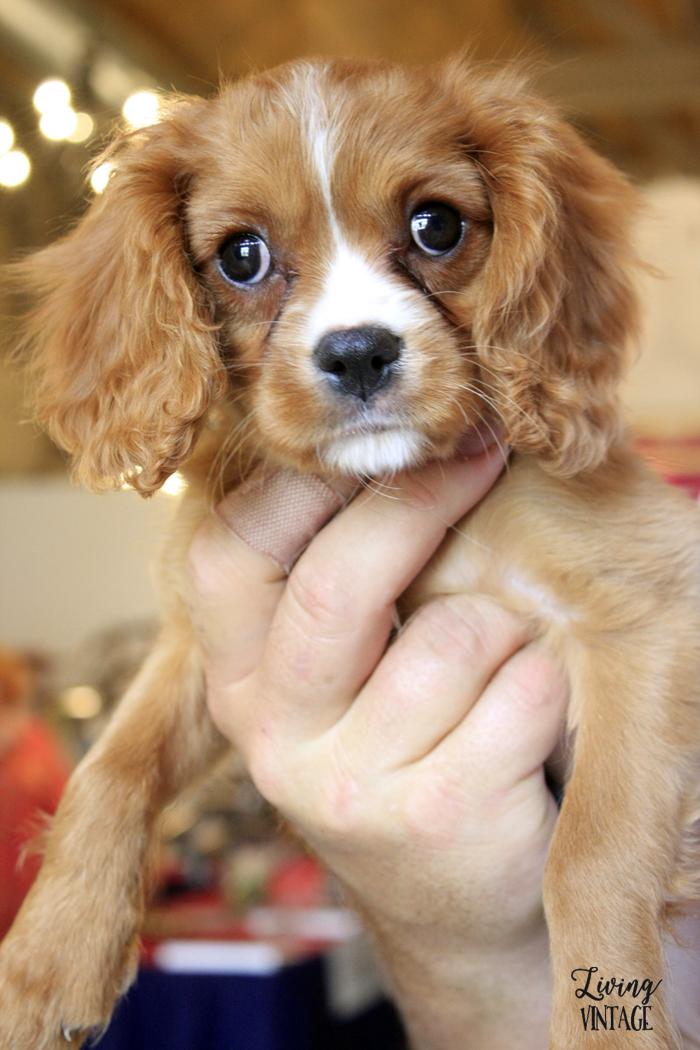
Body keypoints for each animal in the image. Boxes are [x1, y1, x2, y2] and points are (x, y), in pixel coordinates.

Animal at [1, 57, 700, 1050]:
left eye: (437, 225)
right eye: (241, 257)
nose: (360, 353)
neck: (382, 484)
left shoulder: (646, 609)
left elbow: (589, 853)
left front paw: (608, 1026)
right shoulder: (198, 639)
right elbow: (111, 767)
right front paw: (48, 959)